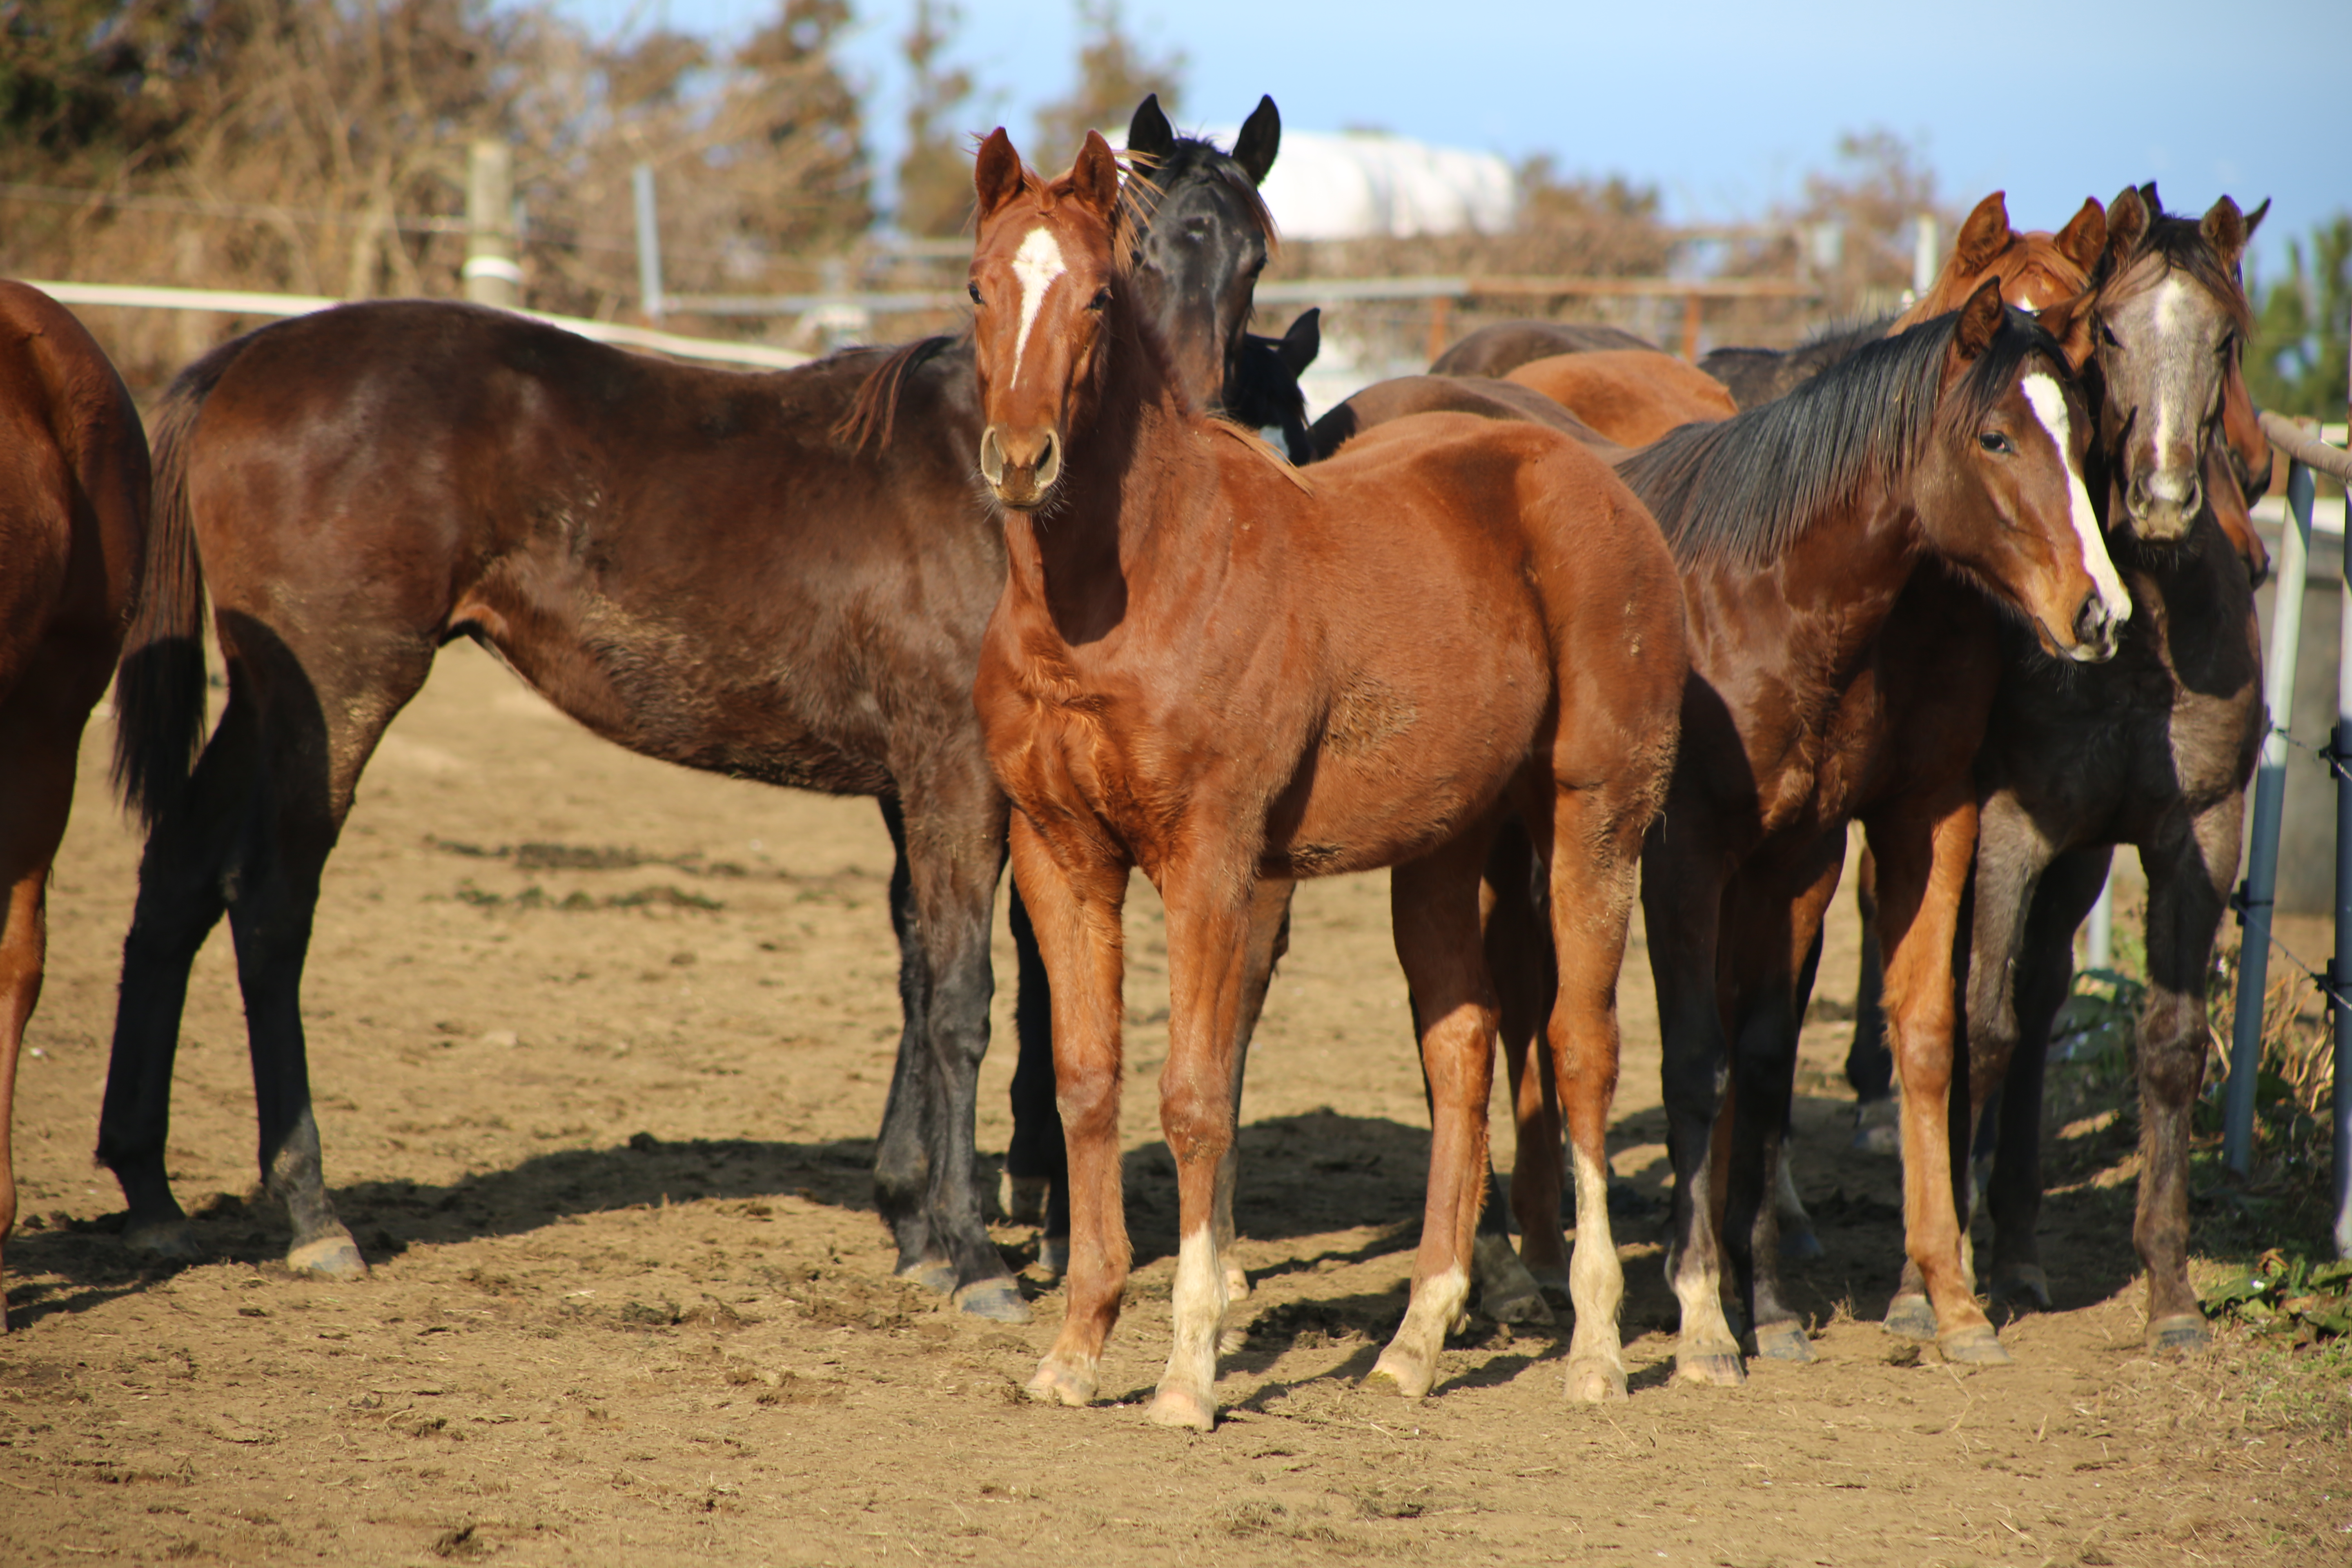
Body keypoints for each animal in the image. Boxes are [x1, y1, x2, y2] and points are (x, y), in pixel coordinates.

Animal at [101, 95, 1298, 1326]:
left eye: (1251, 259)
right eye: (984, 287)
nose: (1198, 432)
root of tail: (244, 357)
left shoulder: (918, 779)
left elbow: (920, 967)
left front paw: (916, 1222)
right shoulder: (954, 768)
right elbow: (963, 992)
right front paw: (969, 1254)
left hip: (265, 702)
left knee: (178, 880)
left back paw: (149, 1193)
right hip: (336, 695)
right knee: (269, 907)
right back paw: (312, 1213)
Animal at [964, 131, 1703, 1439]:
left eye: (1097, 296)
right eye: (976, 289)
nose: (1019, 460)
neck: (1125, 590)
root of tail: (1589, 477)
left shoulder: (1211, 859)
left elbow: (1196, 1094)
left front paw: (1187, 1371)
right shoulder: (1063, 855)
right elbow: (1089, 1085)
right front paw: (1075, 1349)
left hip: (1592, 821)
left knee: (1578, 1047)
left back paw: (1595, 1349)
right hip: (1445, 846)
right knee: (1462, 1049)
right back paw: (1413, 1342)